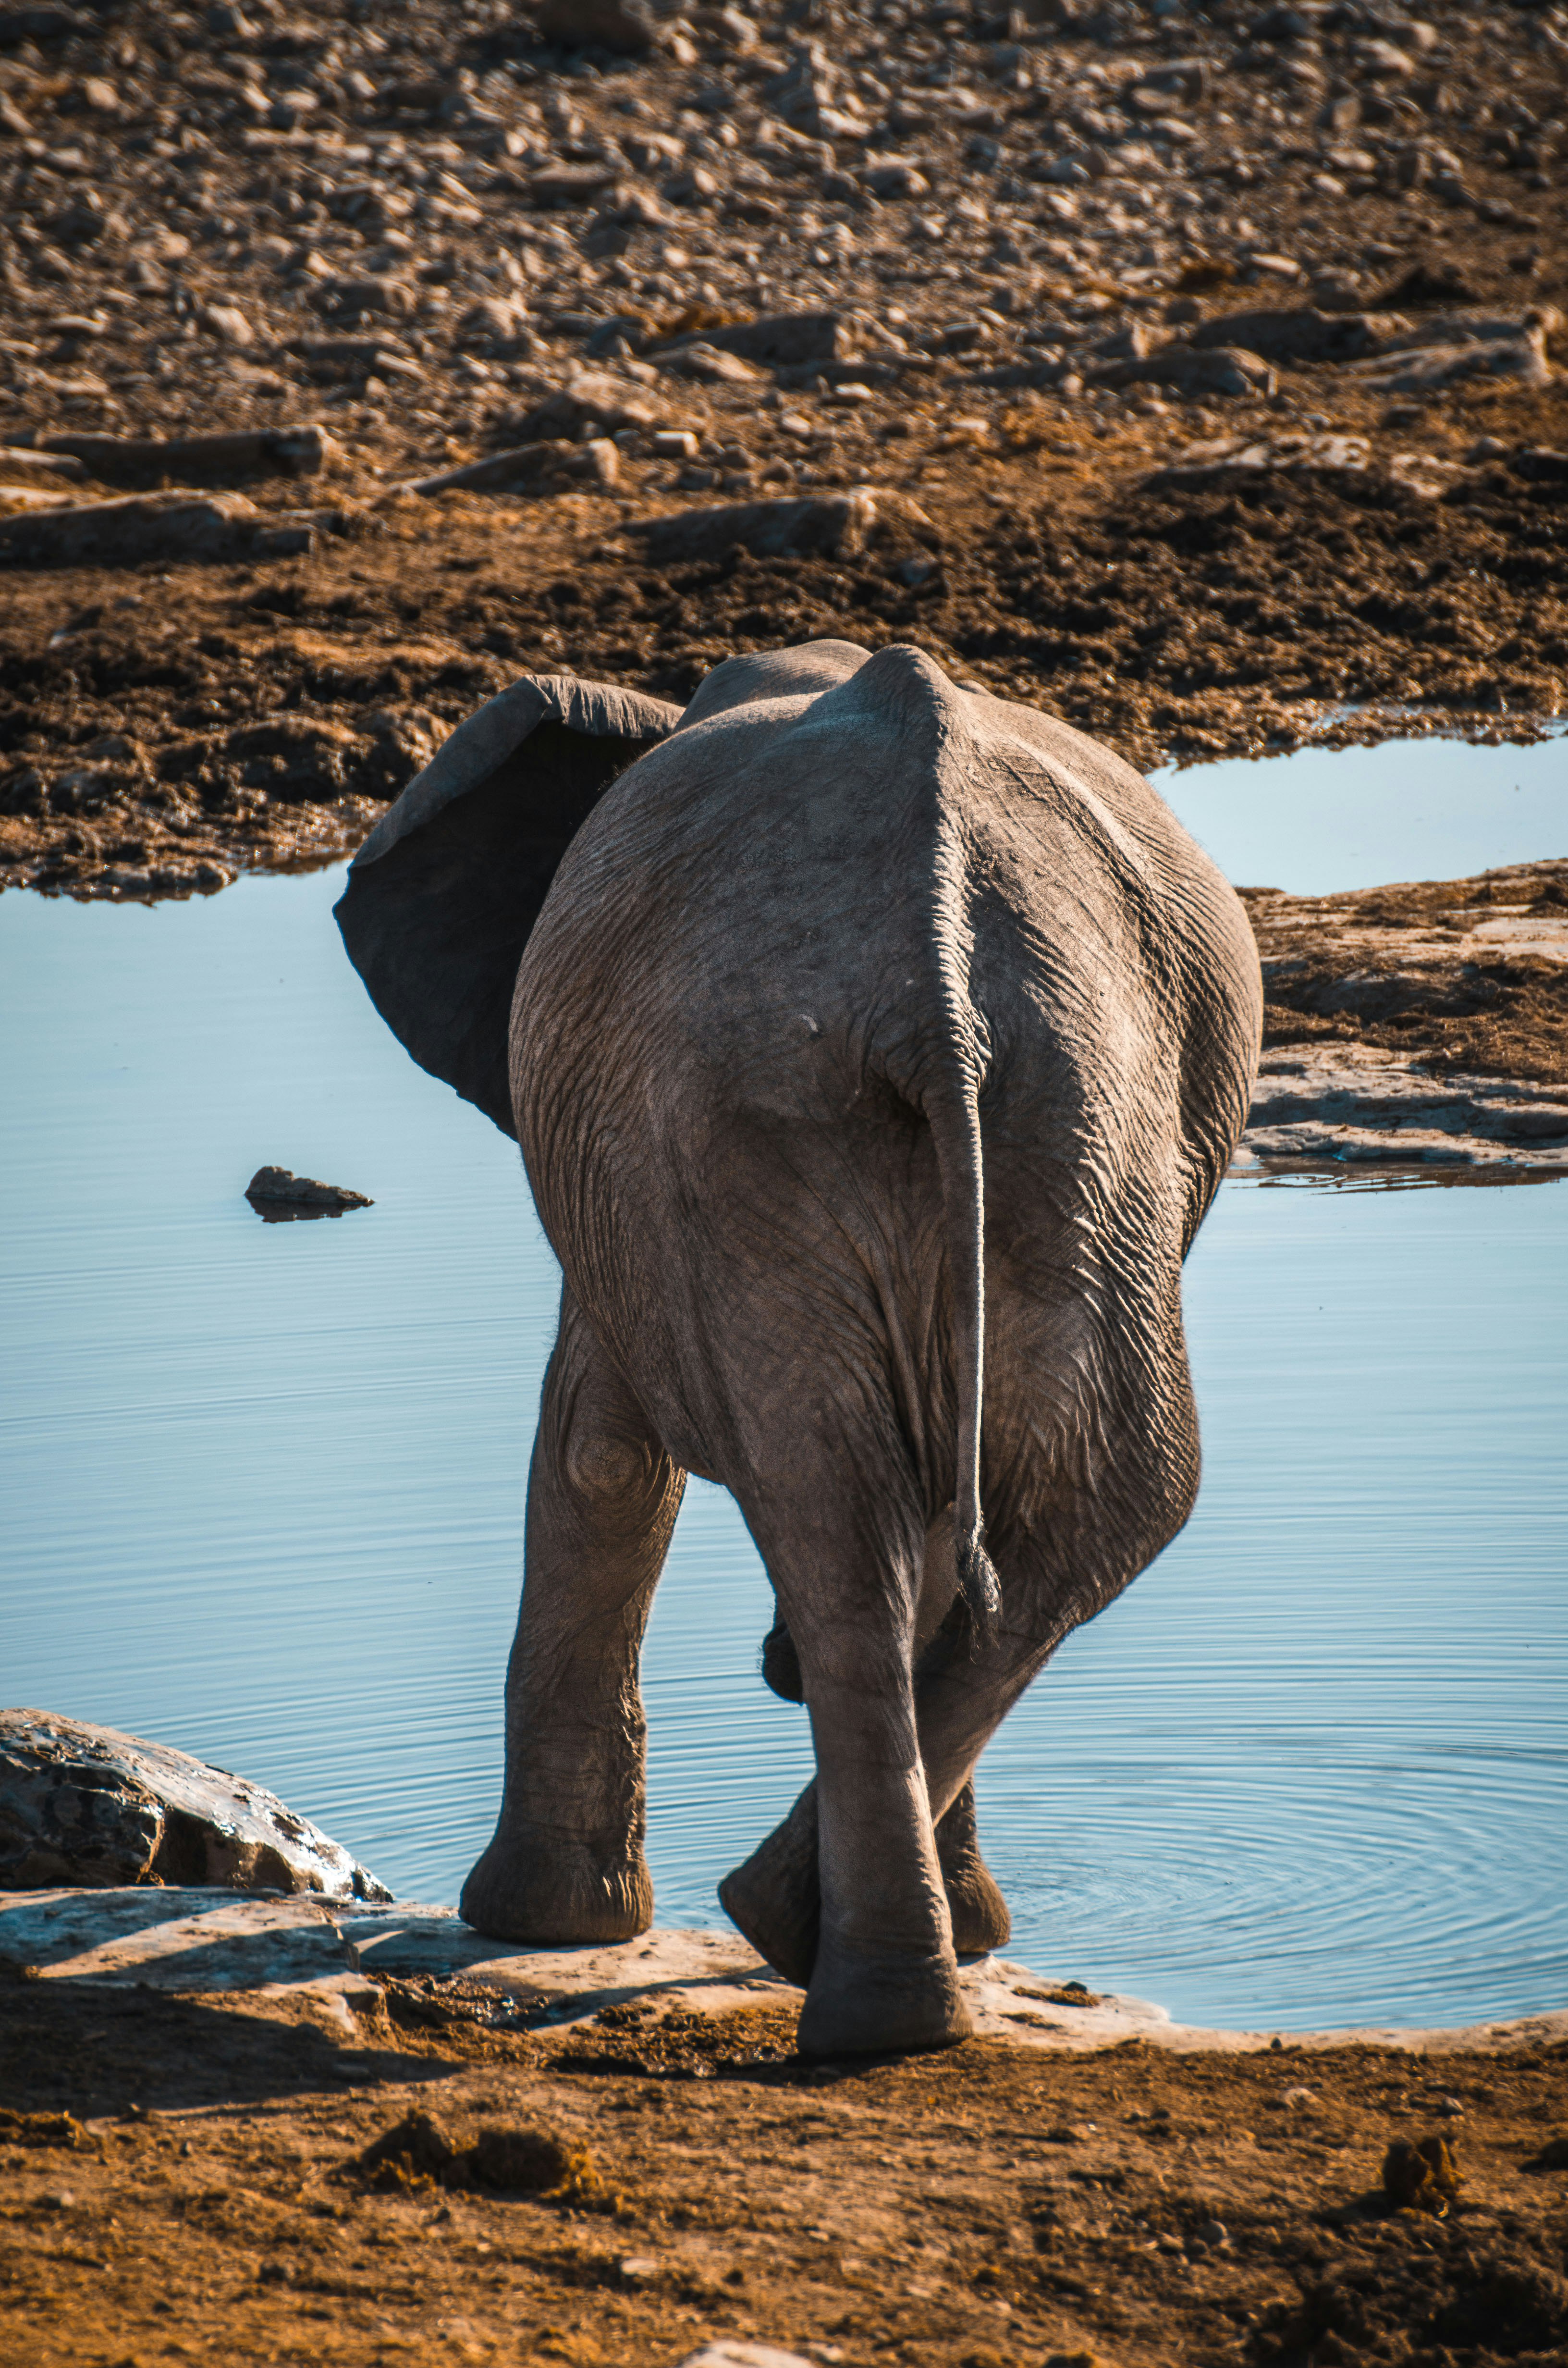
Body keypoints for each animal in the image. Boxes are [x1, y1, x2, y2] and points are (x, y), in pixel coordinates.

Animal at [341, 644, 1269, 2055]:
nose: (763, 1670)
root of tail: (935, 970)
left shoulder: (627, 1174)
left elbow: (599, 1456)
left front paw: (536, 1929)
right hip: (1068, 1115)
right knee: (1077, 1506)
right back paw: (865, 1980)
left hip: (789, 1116)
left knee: (856, 1514)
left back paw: (811, 1954)